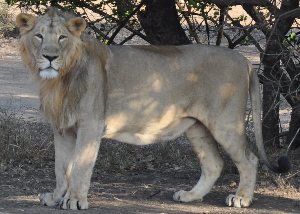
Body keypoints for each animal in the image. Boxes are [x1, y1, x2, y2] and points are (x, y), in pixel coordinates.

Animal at [15, 7, 290, 211]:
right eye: (39, 36)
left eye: (62, 38)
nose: (50, 57)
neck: (60, 79)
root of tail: (244, 60)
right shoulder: (62, 128)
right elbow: (61, 167)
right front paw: (55, 197)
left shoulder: (90, 125)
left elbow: (81, 165)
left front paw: (74, 200)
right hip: (196, 126)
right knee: (214, 163)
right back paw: (190, 195)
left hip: (225, 123)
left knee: (249, 159)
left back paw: (242, 198)